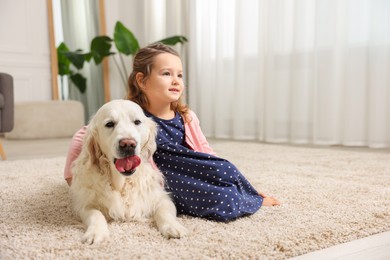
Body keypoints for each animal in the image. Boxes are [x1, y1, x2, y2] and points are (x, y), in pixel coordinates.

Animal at [70, 99, 189, 244]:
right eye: (109, 124)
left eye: (137, 122)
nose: (128, 144)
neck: (122, 182)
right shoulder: (86, 204)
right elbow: (96, 214)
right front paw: (95, 233)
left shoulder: (161, 197)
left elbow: (164, 212)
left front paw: (173, 227)